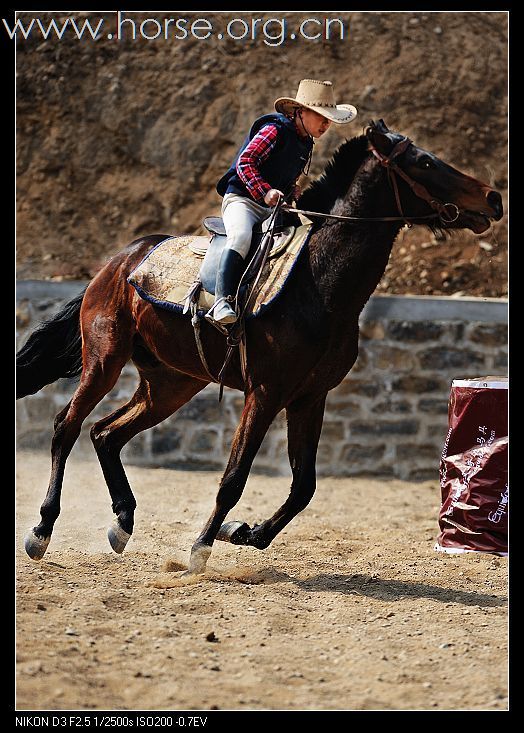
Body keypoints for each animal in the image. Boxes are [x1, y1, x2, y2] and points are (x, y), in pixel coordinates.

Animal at [16, 120, 504, 576]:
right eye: (425, 162)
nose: (493, 197)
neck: (317, 282)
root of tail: (118, 263)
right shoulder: (265, 394)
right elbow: (234, 478)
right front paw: (202, 547)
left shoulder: (309, 398)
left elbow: (304, 486)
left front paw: (244, 532)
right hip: (105, 360)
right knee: (66, 427)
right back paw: (42, 530)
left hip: (171, 384)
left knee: (106, 433)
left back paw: (122, 521)